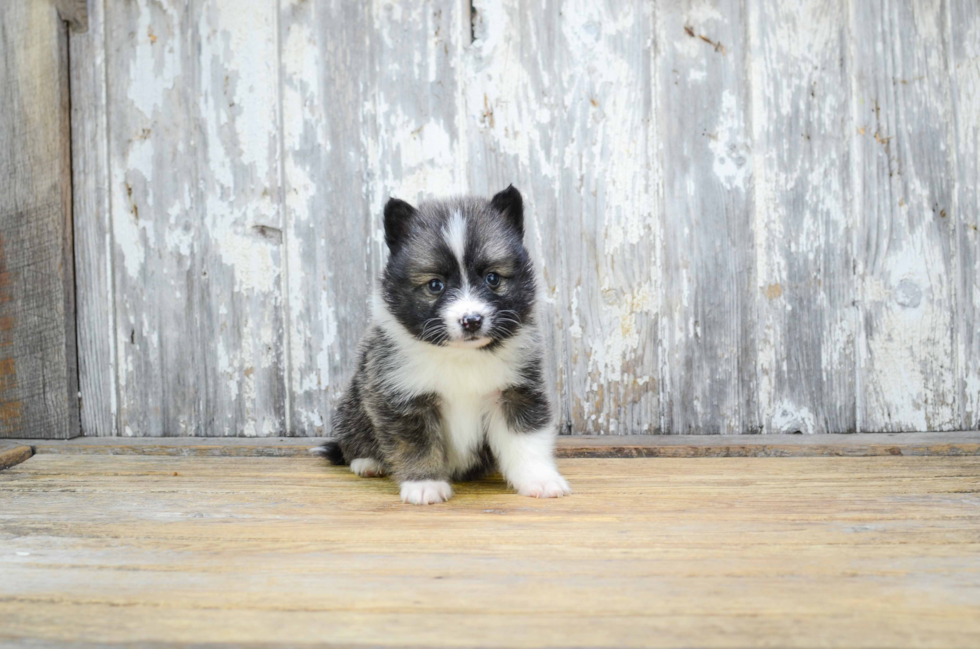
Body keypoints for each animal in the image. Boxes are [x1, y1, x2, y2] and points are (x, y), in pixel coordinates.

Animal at [314, 185, 572, 504]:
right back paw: (367, 462)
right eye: (435, 285)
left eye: (492, 278)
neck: (461, 356)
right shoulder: (404, 399)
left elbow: (527, 440)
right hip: (353, 403)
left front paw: (540, 479)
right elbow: (416, 444)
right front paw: (424, 484)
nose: (471, 320)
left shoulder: (516, 393)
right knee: (352, 438)